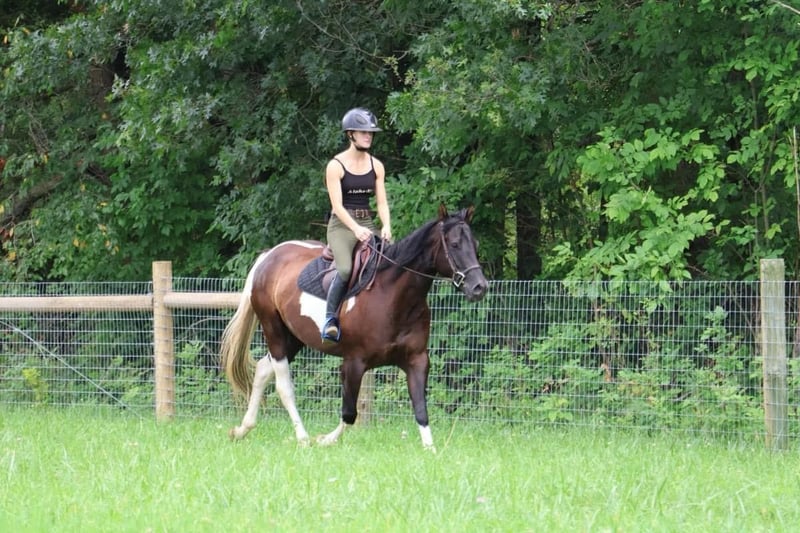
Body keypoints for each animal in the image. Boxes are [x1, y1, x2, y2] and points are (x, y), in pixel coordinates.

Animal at [220, 204, 488, 450]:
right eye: (454, 244)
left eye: (475, 244)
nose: (479, 287)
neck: (393, 295)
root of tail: (268, 257)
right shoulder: (353, 363)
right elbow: (349, 413)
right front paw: (325, 439)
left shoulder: (417, 360)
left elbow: (421, 408)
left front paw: (430, 449)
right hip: (273, 330)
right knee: (283, 384)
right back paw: (303, 438)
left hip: (294, 337)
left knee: (263, 369)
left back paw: (242, 429)